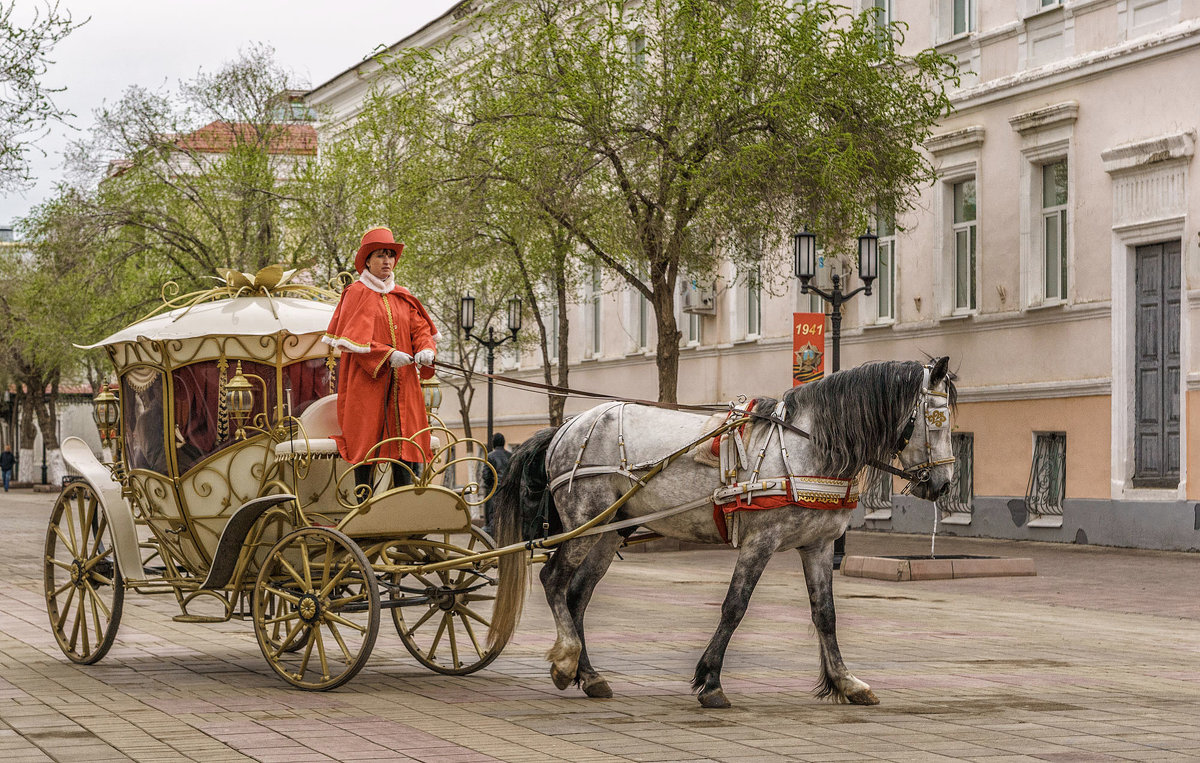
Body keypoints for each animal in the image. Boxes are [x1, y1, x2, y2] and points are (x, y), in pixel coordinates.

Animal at [487, 357, 955, 710]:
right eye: (935, 422)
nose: (944, 485)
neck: (806, 447)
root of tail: (566, 427)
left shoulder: (818, 545)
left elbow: (826, 614)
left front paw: (846, 683)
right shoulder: (760, 541)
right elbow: (735, 606)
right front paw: (710, 681)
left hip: (609, 531)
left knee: (577, 594)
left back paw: (590, 676)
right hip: (586, 521)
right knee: (553, 579)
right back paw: (566, 662)